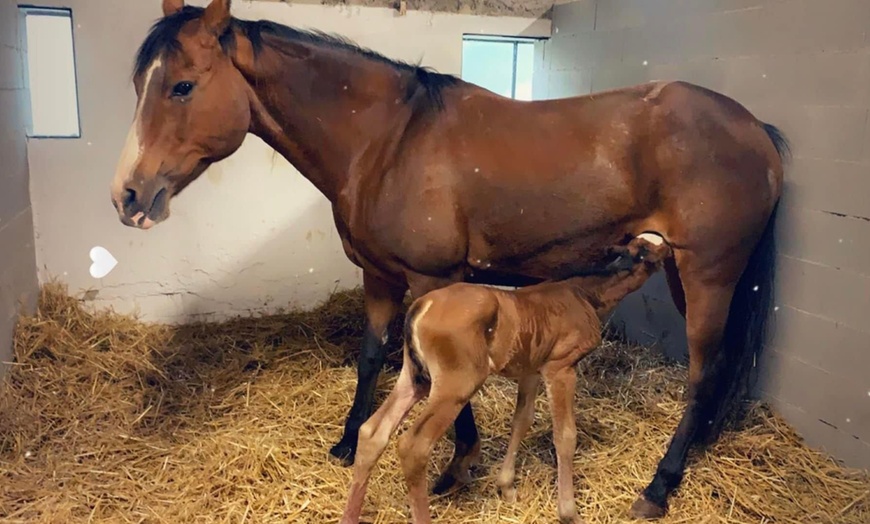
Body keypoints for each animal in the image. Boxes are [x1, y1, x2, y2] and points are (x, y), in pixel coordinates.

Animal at [340, 234, 676, 524]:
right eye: (648, 249)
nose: (672, 248)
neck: (585, 294)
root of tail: (422, 305)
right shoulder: (560, 367)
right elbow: (565, 435)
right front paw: (569, 512)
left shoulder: (531, 368)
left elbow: (522, 420)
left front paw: (506, 487)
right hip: (455, 385)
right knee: (414, 446)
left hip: (415, 378)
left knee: (372, 432)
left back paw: (350, 515)